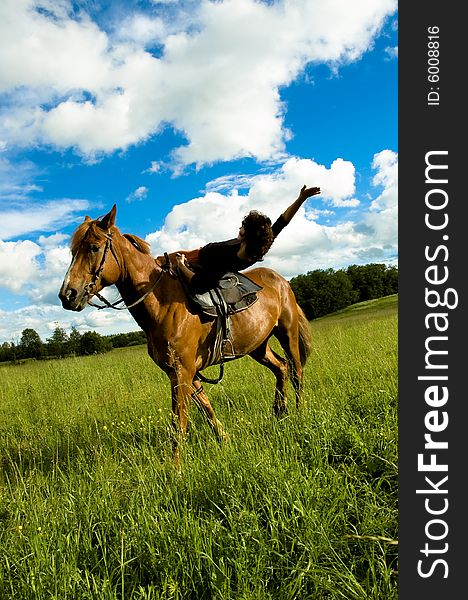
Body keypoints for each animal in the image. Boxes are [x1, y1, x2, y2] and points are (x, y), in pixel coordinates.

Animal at [60, 205, 312, 464]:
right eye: (73, 251)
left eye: (94, 247)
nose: (67, 295)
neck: (162, 302)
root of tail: (281, 280)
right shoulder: (183, 372)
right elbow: (206, 408)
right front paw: (224, 441)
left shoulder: (182, 372)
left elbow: (178, 423)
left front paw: (175, 468)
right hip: (258, 346)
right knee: (281, 367)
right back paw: (279, 413)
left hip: (288, 334)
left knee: (296, 372)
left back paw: (299, 413)